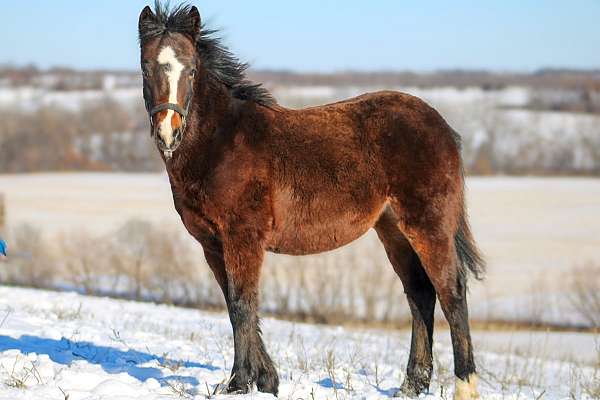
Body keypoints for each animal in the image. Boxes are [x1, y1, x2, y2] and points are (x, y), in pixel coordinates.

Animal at [138, 2, 486, 396]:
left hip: (428, 225)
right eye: (146, 66)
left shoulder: (242, 238)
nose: (168, 132)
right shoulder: (212, 243)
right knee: (420, 294)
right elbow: (233, 303)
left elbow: (242, 304)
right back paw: (411, 385)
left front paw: (239, 383)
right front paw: (267, 380)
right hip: (393, 230)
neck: (223, 142)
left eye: (192, 69)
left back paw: (465, 386)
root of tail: (441, 126)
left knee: (451, 292)